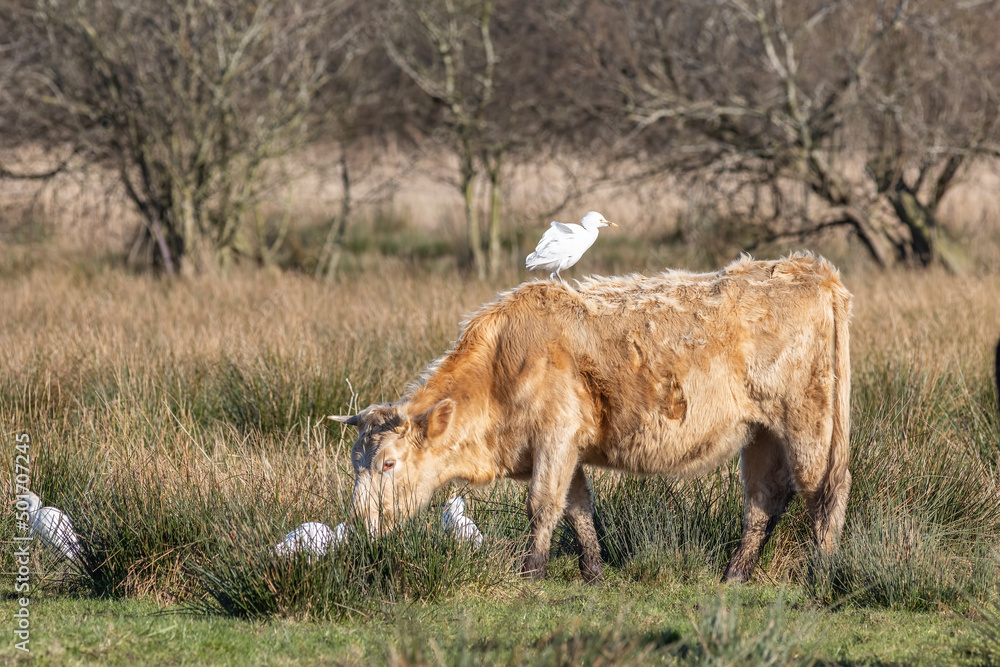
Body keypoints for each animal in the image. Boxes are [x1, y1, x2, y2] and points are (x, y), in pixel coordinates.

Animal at [331, 253, 853, 583]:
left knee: (824, 490)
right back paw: (736, 573)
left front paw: (531, 572)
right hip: (762, 432)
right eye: (355, 464)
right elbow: (578, 508)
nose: (357, 525)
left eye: (389, 463)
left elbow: (543, 504)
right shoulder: (567, 449)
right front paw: (594, 572)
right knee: (764, 498)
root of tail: (812, 269)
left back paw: (822, 570)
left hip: (809, 423)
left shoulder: (556, 437)